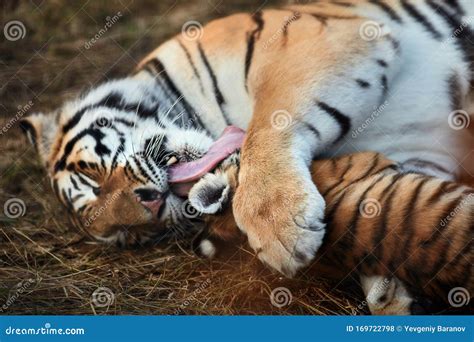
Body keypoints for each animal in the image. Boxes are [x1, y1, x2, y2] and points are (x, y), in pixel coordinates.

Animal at [21, 0, 474, 278]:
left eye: (93, 178)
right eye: (129, 237)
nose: (150, 210)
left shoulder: (317, 41)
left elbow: (268, 126)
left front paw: (280, 228)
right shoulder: (414, 154)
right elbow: (415, 218)